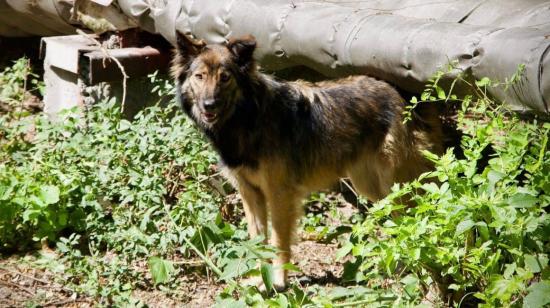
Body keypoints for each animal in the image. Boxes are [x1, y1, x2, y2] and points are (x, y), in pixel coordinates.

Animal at [171, 30, 444, 288]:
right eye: (200, 76)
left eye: (225, 77)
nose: (209, 105)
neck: (247, 117)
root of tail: (402, 97)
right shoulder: (250, 193)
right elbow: (257, 240)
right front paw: (259, 280)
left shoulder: (279, 193)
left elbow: (278, 240)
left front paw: (278, 281)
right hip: (370, 186)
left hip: (394, 185)